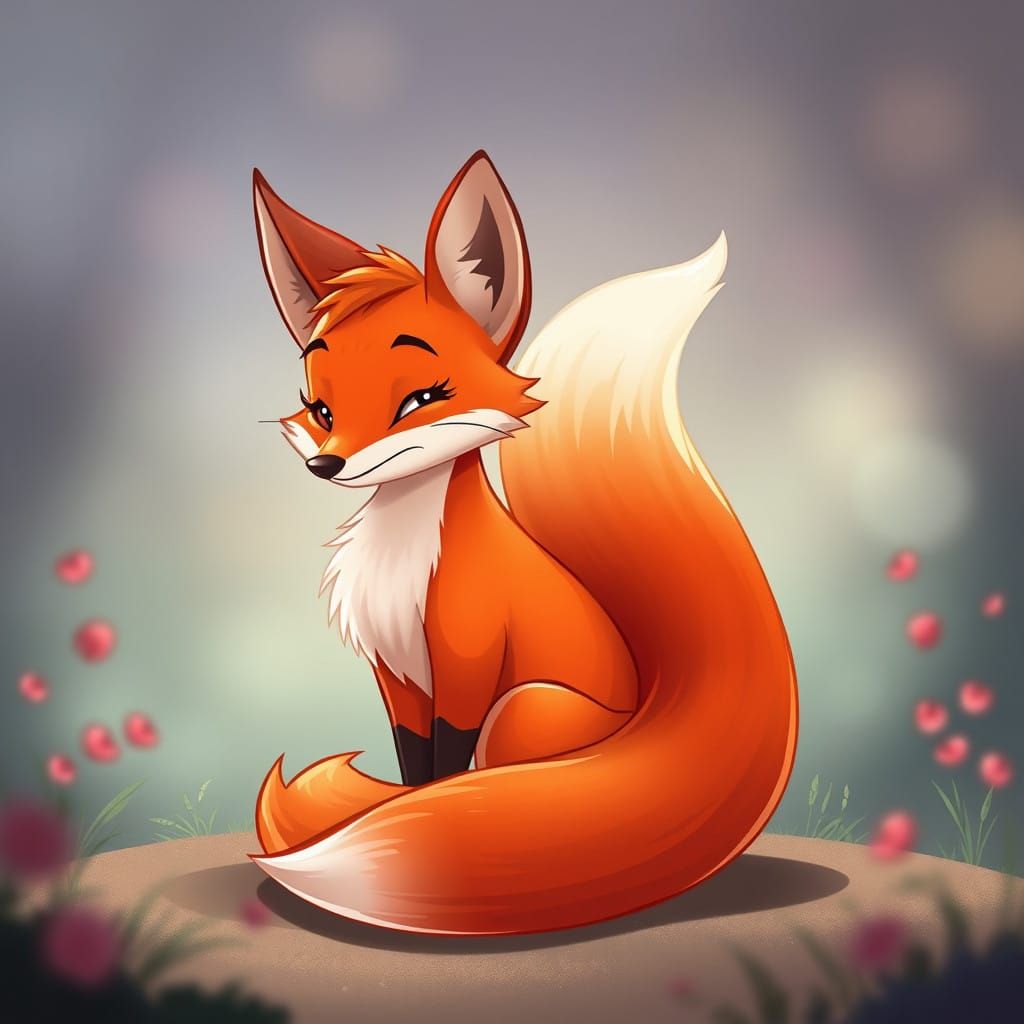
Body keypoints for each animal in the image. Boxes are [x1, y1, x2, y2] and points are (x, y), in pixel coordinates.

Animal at [250, 150, 798, 936]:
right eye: (320, 408)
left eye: (421, 400)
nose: (328, 464)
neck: (404, 559)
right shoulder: (399, 677)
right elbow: (416, 766)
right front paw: (410, 810)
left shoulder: (467, 664)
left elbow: (445, 767)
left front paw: (423, 826)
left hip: (525, 708)